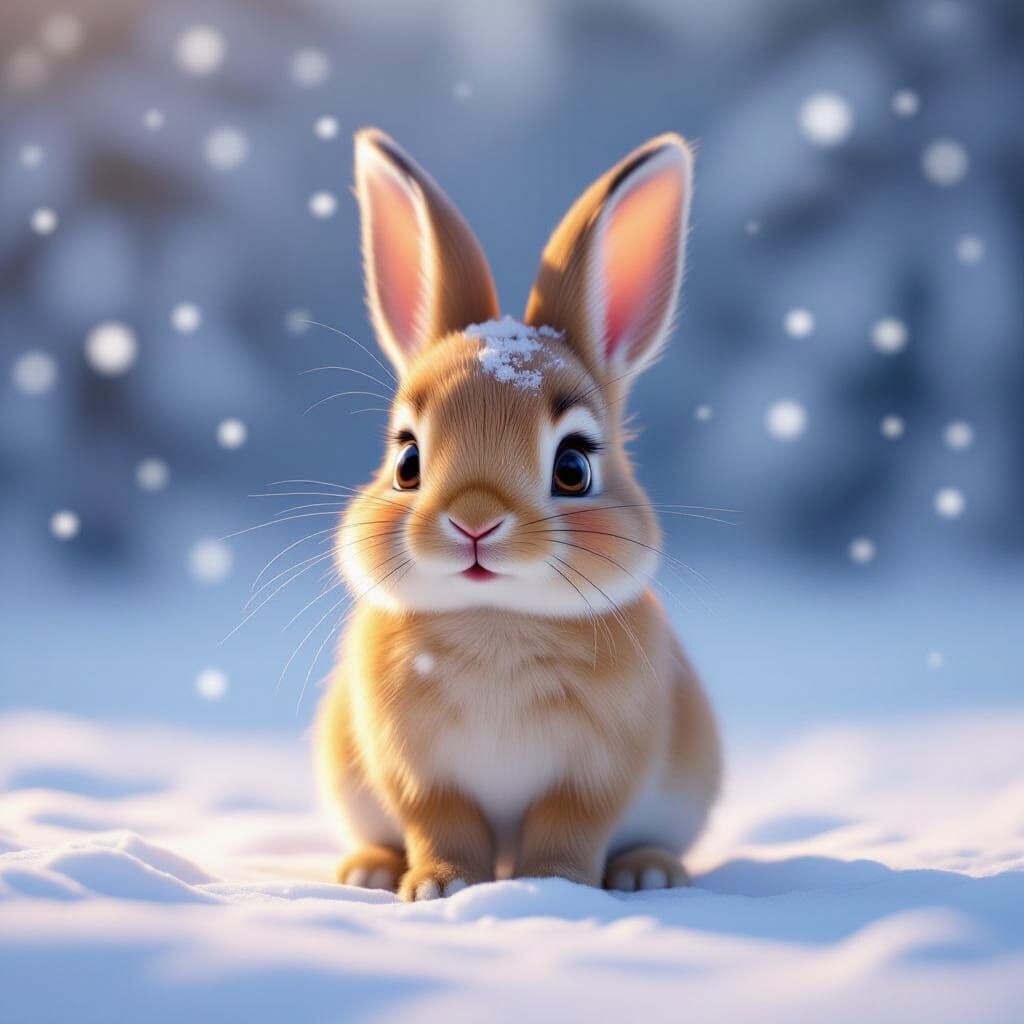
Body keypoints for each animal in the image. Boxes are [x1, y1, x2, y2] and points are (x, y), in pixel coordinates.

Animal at [315, 127, 721, 901]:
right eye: (407, 460)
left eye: (574, 468)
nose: (475, 521)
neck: (494, 620)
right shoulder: (420, 775)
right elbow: (443, 825)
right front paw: (439, 887)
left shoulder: (592, 777)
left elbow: (569, 828)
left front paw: (552, 884)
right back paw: (368, 870)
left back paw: (649, 873)